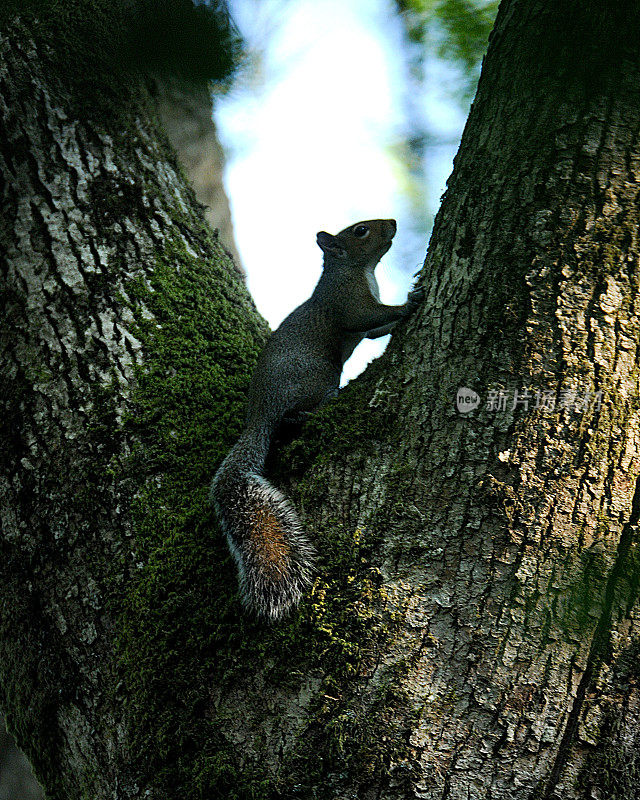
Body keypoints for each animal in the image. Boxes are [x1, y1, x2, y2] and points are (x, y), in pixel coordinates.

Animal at [209, 217, 420, 620]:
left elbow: (375, 330)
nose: (392, 223)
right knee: (290, 419)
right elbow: (369, 317)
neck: (360, 270)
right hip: (316, 376)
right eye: (360, 231)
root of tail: (258, 415)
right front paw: (407, 304)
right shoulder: (348, 303)